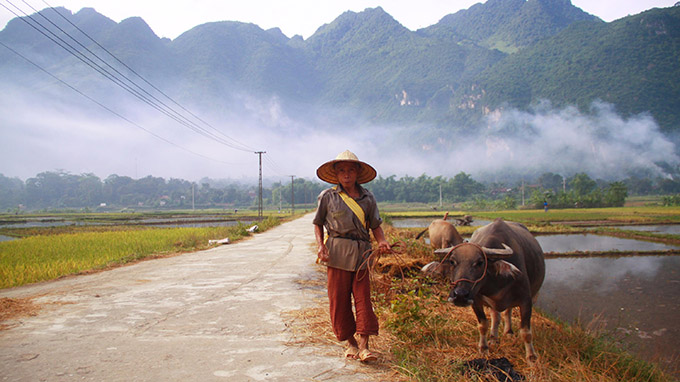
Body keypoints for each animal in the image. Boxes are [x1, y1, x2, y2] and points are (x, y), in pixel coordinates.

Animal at [422, 218, 544, 362]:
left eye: (480, 262)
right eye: (452, 261)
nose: (460, 296)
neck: (496, 283)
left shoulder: (526, 300)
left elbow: (526, 331)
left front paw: (531, 357)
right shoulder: (476, 301)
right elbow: (483, 324)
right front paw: (484, 348)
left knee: (506, 312)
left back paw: (508, 332)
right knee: (496, 317)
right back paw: (494, 338)